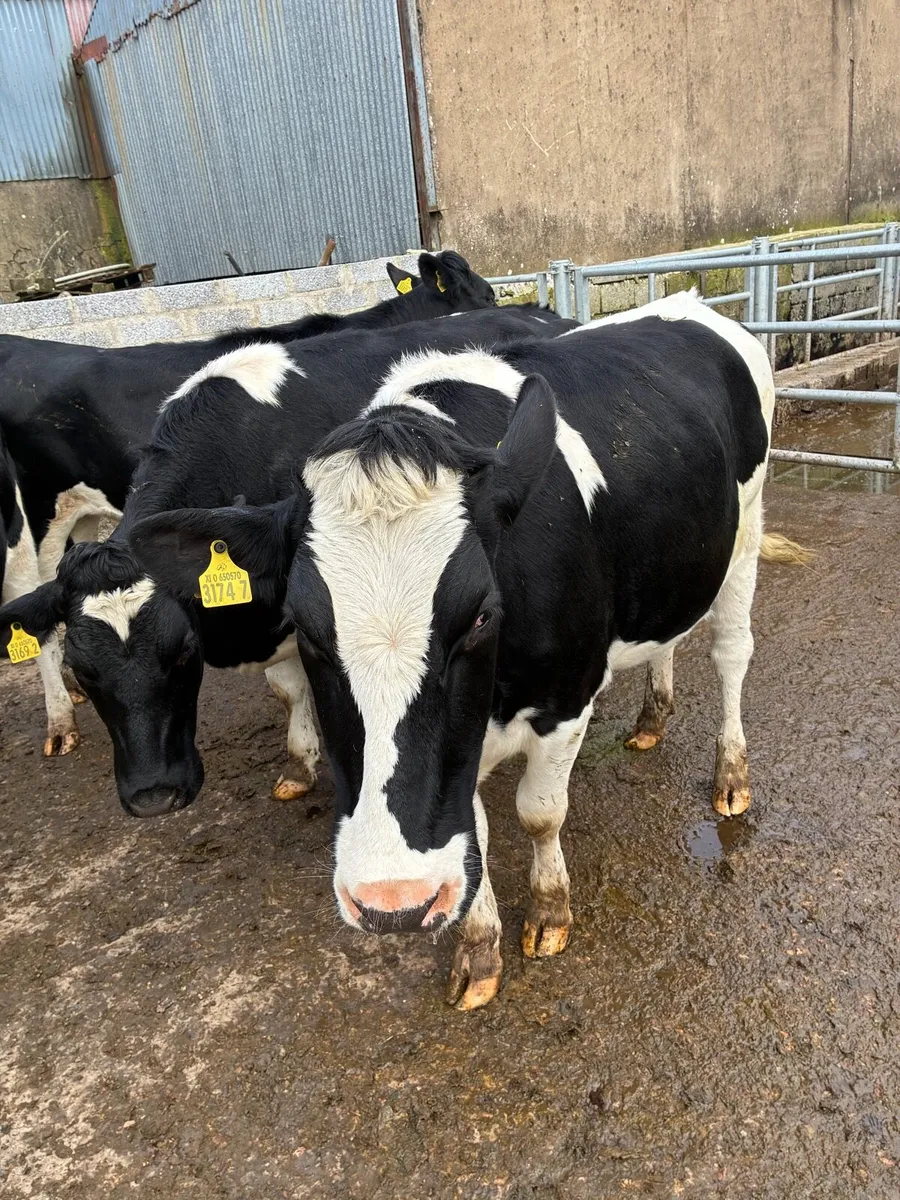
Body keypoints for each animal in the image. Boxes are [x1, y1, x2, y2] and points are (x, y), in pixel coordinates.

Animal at [130, 292, 793, 1009]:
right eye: (304, 627)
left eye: (479, 615)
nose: (391, 901)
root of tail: (687, 302)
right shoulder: (460, 738)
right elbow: (470, 829)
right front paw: (478, 951)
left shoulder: (566, 696)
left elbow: (539, 814)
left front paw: (550, 912)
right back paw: (651, 719)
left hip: (747, 525)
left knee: (731, 653)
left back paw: (731, 777)